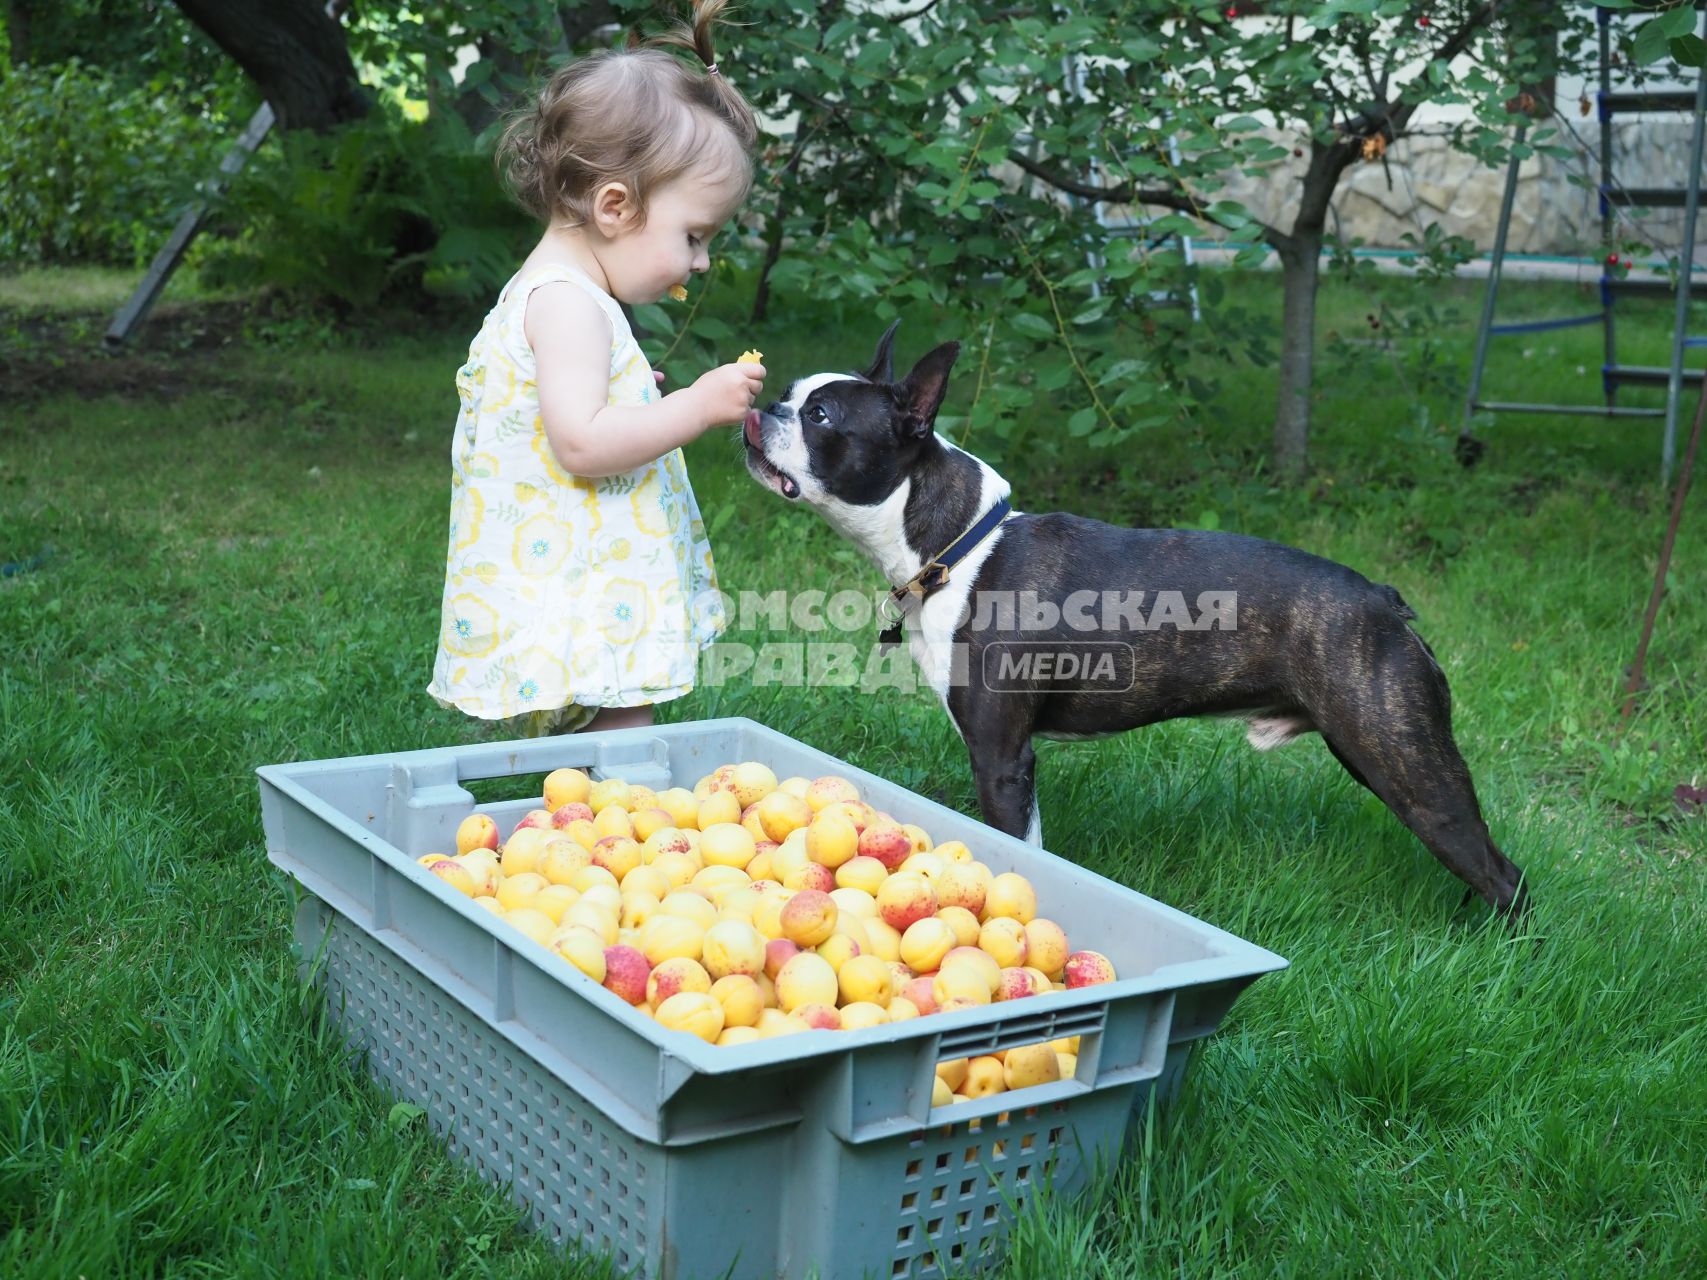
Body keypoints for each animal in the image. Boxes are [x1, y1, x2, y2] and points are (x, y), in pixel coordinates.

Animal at [740, 320, 1529, 921]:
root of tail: (1385, 600)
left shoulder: (1002, 758)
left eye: (820, 417)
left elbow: (1020, 849)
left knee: (1504, 874)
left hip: (1407, 766)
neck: (956, 542)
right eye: (788, 397)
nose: (762, 409)